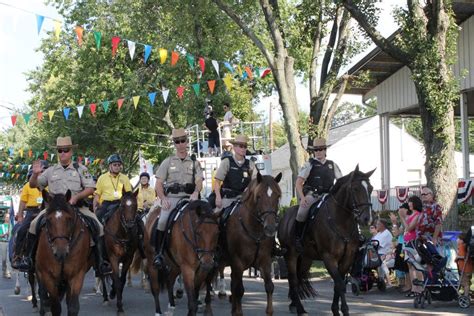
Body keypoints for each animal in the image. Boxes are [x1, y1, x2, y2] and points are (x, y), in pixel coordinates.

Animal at [206, 173, 282, 316]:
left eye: (278, 196)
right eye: (258, 197)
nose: (270, 228)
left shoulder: (265, 261)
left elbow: (269, 287)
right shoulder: (238, 262)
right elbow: (239, 289)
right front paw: (238, 311)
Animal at [278, 165, 374, 316]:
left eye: (370, 188)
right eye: (355, 189)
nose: (367, 219)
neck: (341, 221)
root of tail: (284, 217)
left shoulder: (347, 258)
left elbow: (339, 284)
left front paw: (336, 309)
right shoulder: (329, 257)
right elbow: (340, 284)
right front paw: (344, 310)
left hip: (306, 258)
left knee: (299, 278)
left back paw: (294, 305)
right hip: (291, 255)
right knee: (293, 279)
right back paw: (299, 309)